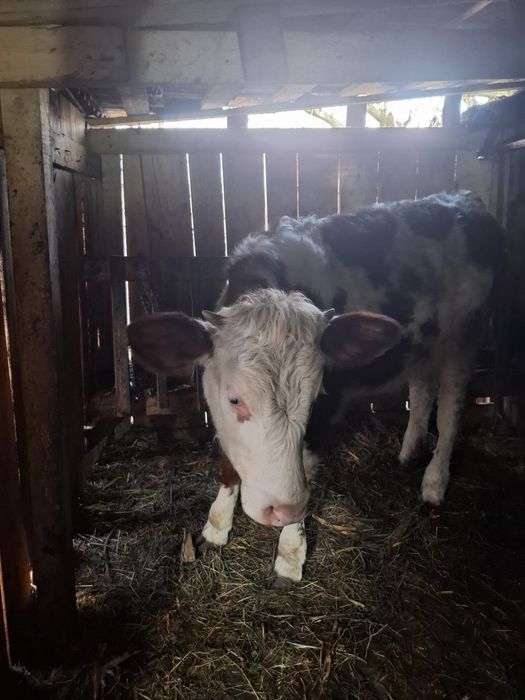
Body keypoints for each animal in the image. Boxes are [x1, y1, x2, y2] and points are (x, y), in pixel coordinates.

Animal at [128, 191, 503, 584]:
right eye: (234, 399)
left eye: (314, 399)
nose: (281, 508)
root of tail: (465, 199)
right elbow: (226, 465)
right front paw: (216, 527)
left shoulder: (327, 413)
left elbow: (305, 469)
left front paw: (290, 556)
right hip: (422, 347)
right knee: (421, 392)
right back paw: (407, 451)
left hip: (464, 339)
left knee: (450, 414)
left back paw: (433, 482)